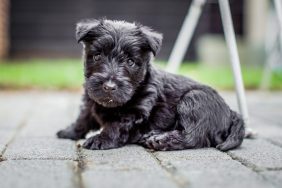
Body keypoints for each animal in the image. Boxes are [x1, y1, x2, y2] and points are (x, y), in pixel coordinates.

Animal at [56, 19, 245, 151]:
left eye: (131, 62)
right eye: (97, 56)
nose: (109, 87)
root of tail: (231, 113)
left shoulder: (133, 112)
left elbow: (115, 125)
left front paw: (100, 139)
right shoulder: (90, 101)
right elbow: (83, 118)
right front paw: (70, 131)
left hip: (194, 99)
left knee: (194, 136)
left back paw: (159, 140)